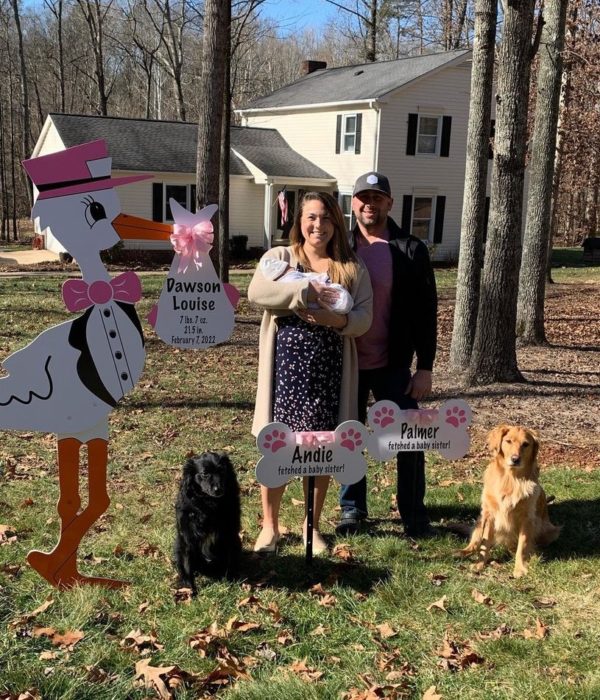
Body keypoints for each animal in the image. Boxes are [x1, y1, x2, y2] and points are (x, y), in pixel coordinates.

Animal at [173, 452, 241, 592]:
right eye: (204, 473)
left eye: (222, 470)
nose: (218, 489)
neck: (209, 504)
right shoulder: (187, 538)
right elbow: (187, 566)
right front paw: (189, 590)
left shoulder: (230, 535)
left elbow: (230, 560)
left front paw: (230, 581)